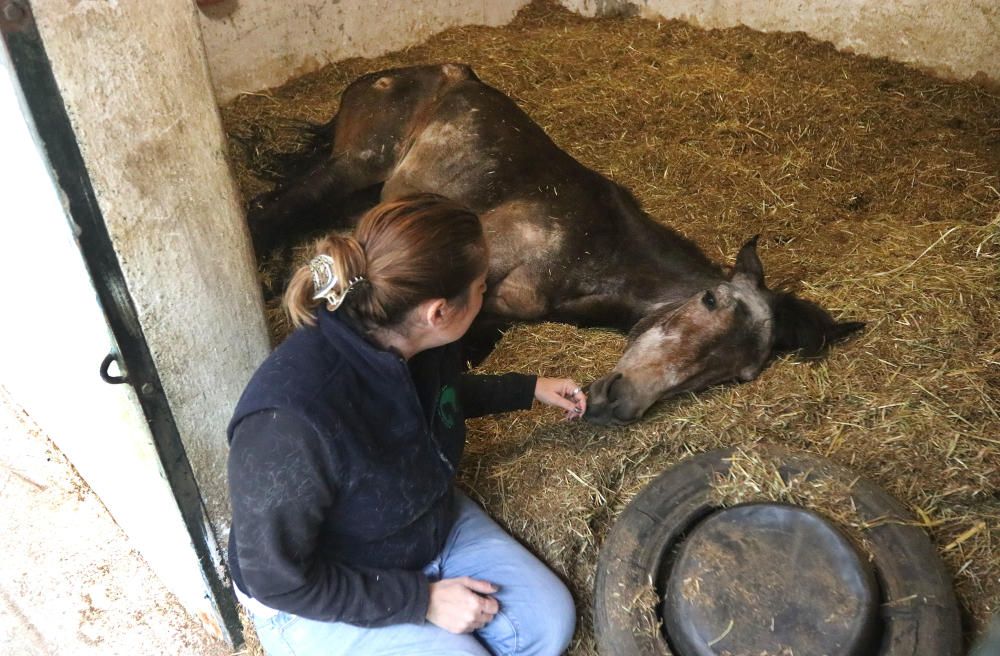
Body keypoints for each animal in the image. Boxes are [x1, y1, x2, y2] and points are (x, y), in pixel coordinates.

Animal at [248, 64, 860, 422]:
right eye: (710, 300)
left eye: (740, 377)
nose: (620, 401)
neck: (586, 250)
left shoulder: (490, 318)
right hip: (355, 167)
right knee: (267, 215)